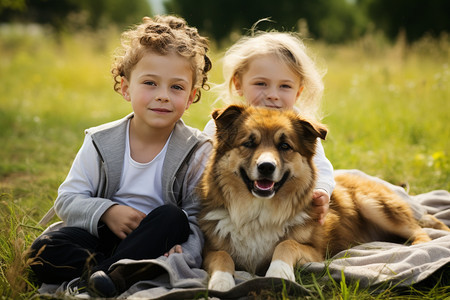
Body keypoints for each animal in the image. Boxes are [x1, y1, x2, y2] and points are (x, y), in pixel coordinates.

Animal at [198, 105, 450, 290]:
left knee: (420, 230)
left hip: (373, 205)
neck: (258, 211)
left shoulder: (315, 254)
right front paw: (221, 283)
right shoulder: (209, 251)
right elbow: (222, 256)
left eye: (284, 146)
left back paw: (417, 247)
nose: (266, 167)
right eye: (249, 143)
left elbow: (287, 244)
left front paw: (279, 273)